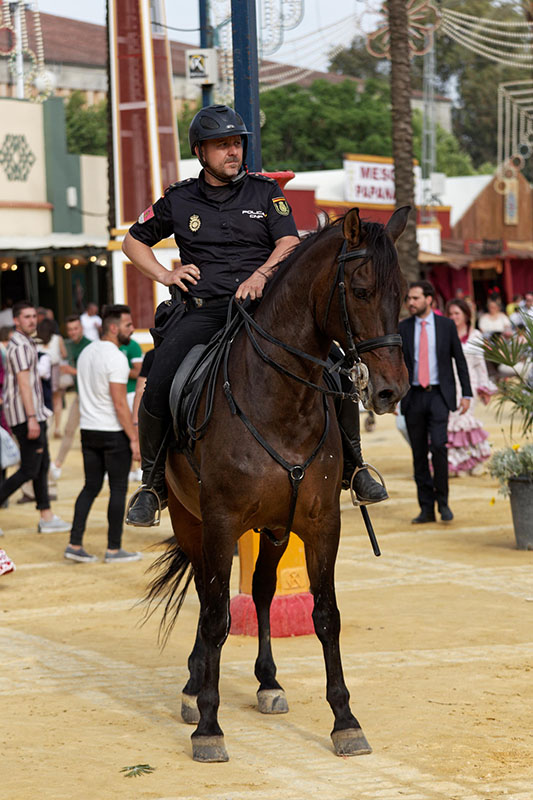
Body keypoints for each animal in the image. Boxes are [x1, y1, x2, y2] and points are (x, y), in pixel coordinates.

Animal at [143, 205, 410, 764]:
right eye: (360, 290)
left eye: (402, 294)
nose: (391, 391)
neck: (280, 399)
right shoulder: (220, 522)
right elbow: (217, 616)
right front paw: (209, 726)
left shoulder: (320, 523)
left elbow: (325, 615)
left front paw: (345, 721)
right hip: (189, 519)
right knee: (206, 593)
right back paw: (193, 689)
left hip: (274, 527)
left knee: (262, 590)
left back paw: (268, 682)